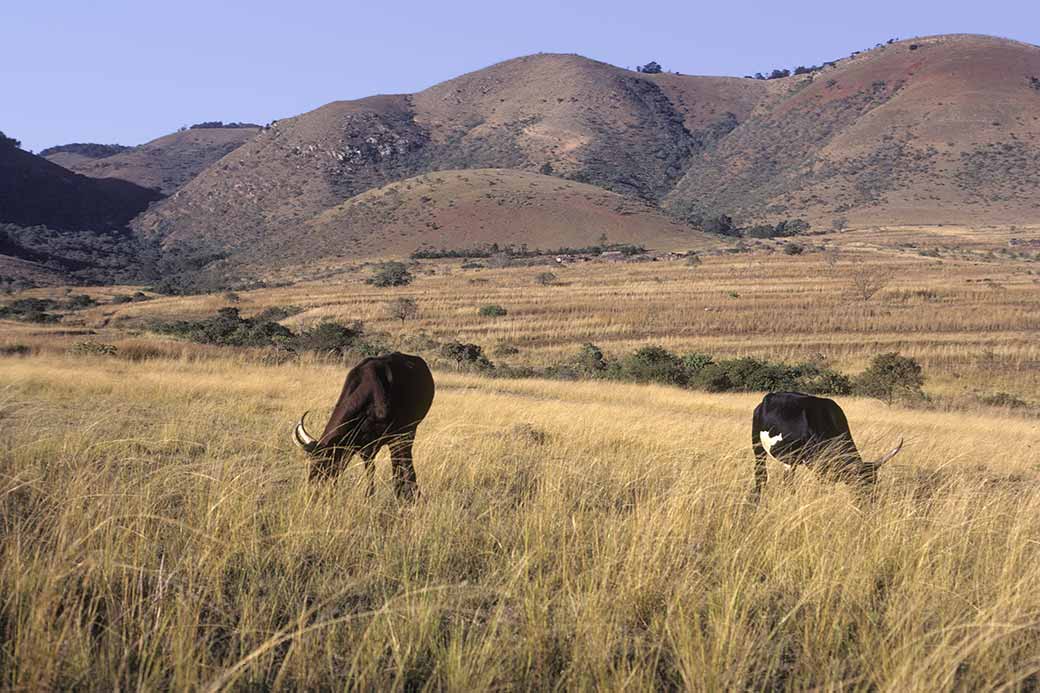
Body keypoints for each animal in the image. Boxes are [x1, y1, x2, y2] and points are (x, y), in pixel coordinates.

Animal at [293, 351, 434, 497]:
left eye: (324, 462)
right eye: (311, 461)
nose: (312, 483)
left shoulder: (381, 440)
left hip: (408, 430)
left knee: (402, 456)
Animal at [748, 391, 902, 493]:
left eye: (875, 484)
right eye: (861, 485)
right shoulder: (819, 467)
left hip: (790, 460)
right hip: (758, 449)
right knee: (761, 474)